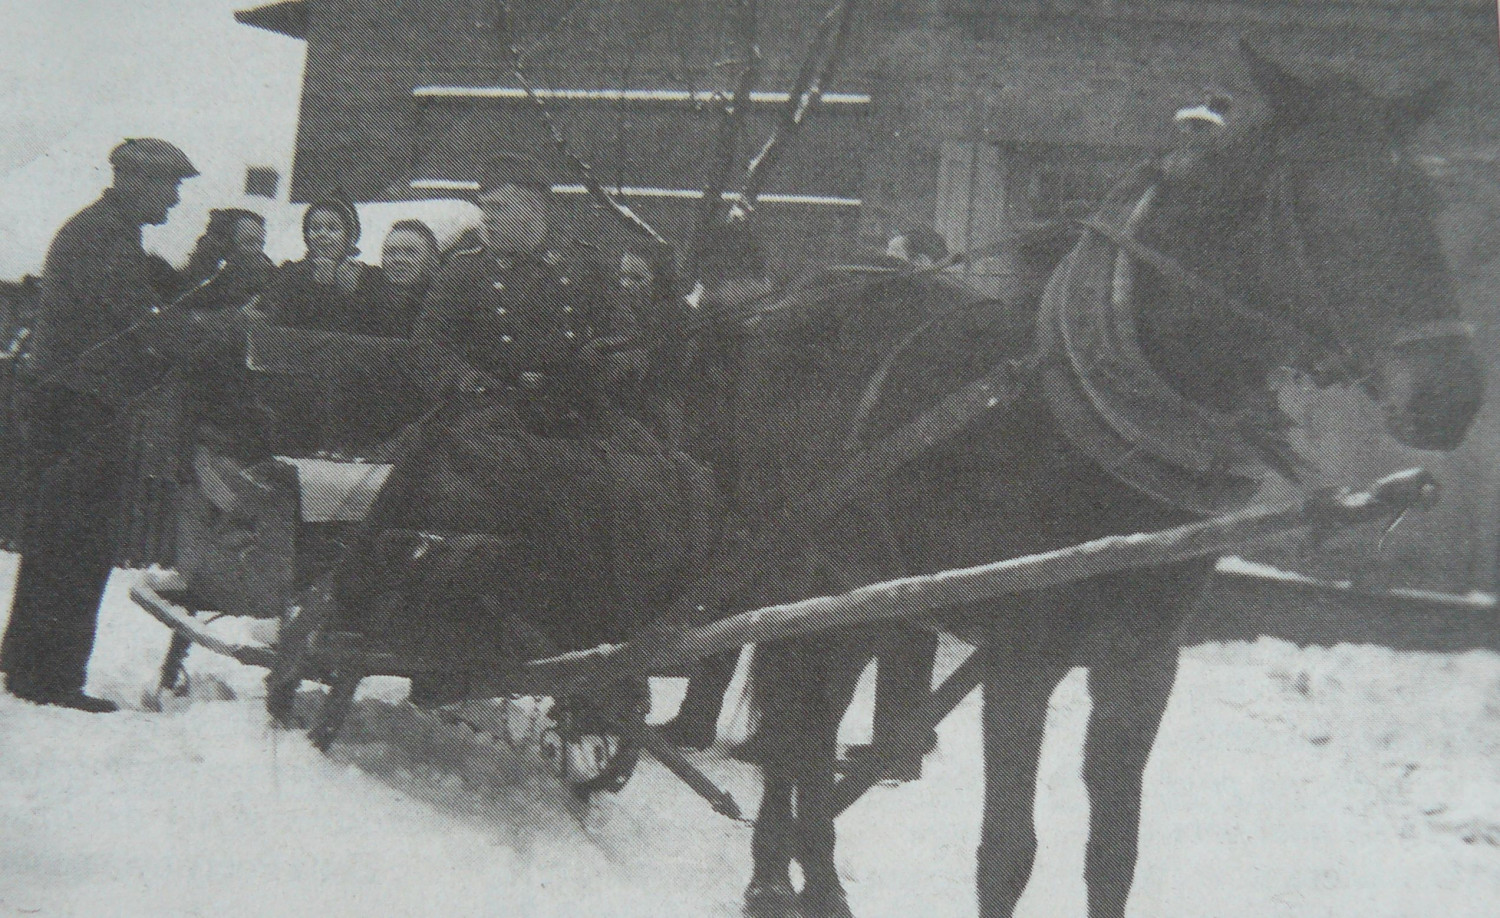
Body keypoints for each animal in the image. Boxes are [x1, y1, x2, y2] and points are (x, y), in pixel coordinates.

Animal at [732, 46, 1482, 918]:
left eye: (1426, 199)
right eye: (1327, 199)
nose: (1452, 396)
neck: (1103, 428)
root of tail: (800, 293)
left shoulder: (1144, 661)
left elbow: (1114, 851)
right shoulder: (1023, 657)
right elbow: (1007, 853)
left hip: (864, 584)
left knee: (811, 720)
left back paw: (805, 879)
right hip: (795, 570)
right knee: (794, 717)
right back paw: (778, 877)